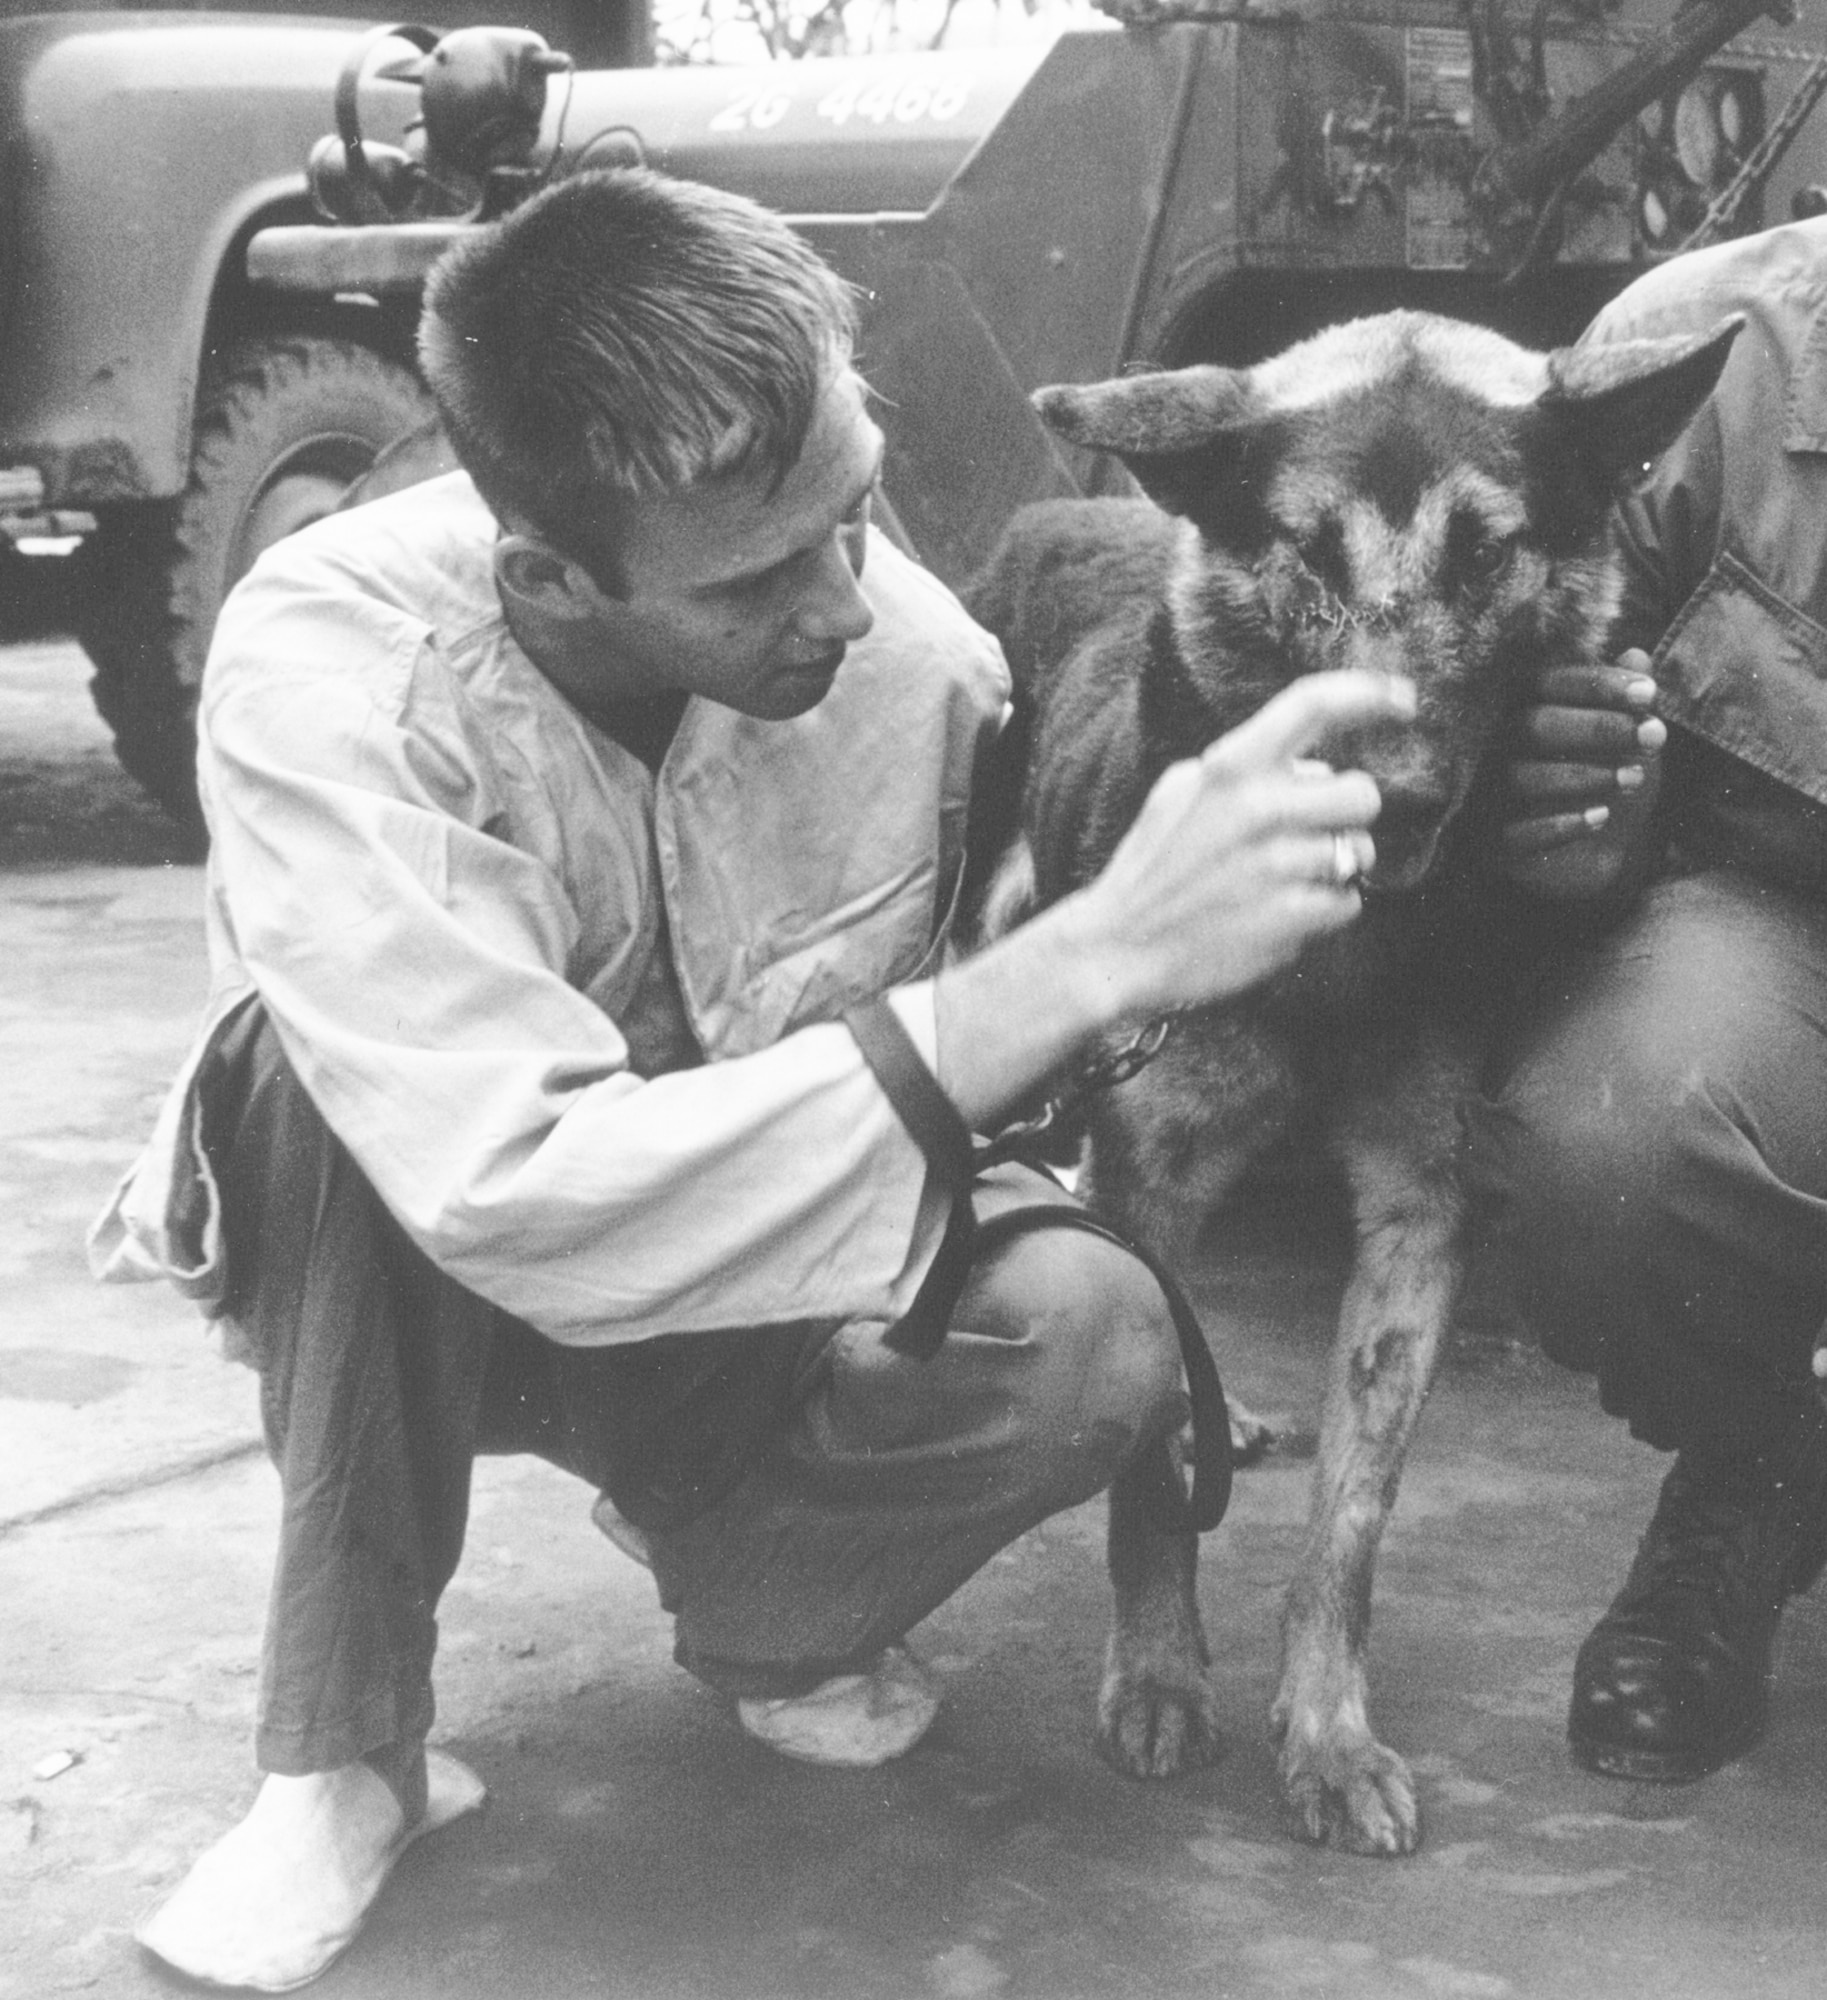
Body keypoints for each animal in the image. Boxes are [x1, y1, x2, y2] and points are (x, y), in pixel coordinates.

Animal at [959, 312, 1727, 1856]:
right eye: (1307, 553)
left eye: (1486, 552)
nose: (1388, 796)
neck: (1343, 950)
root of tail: (1064, 507)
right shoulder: (1157, 1169)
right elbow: (1148, 1484)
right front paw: (1158, 1678)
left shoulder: (1417, 1220)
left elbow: (1348, 1530)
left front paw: (1324, 1733)